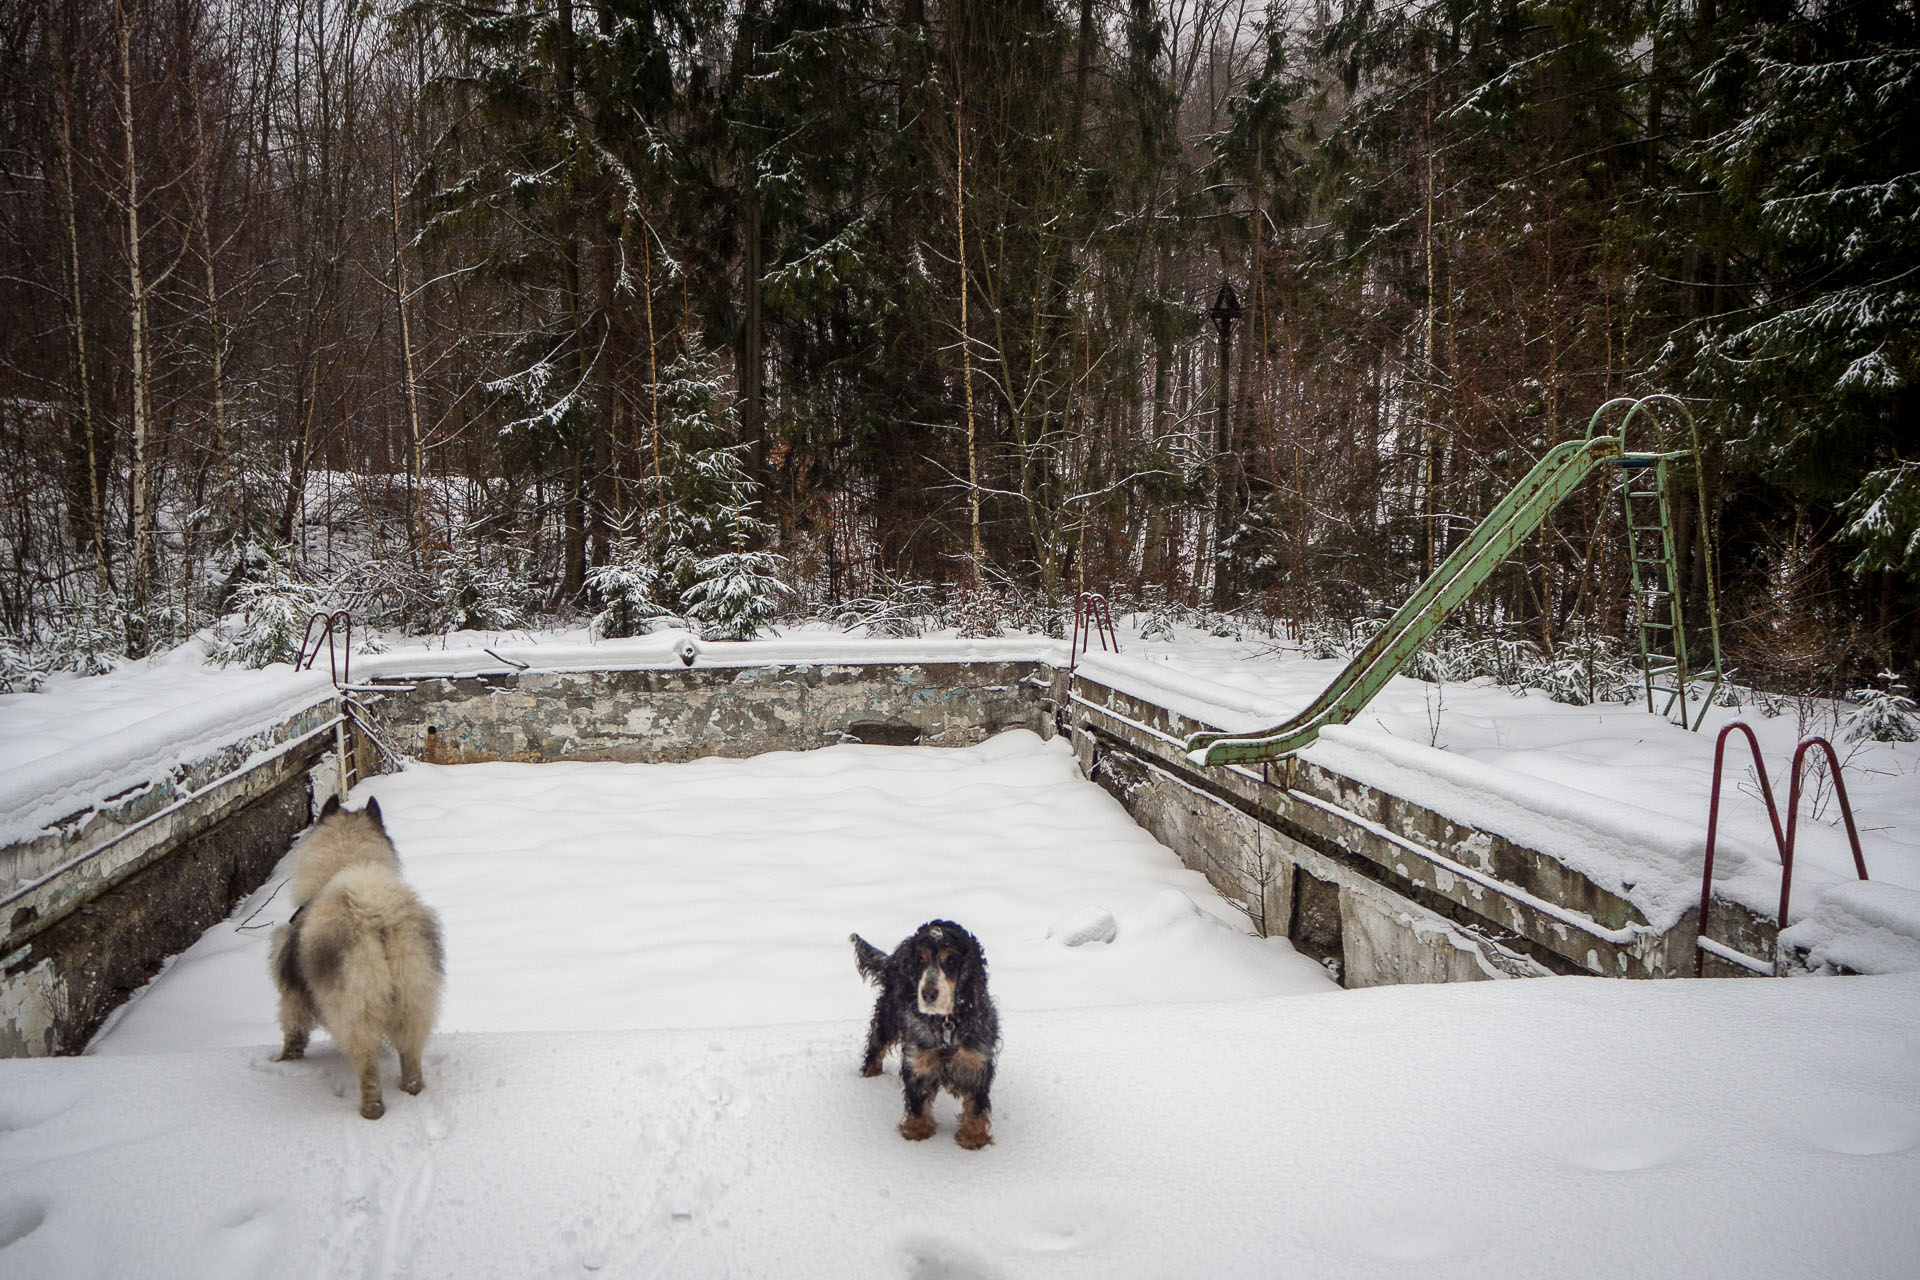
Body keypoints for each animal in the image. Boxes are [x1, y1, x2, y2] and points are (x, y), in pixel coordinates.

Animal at [268, 794, 443, 1113]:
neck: (347, 861)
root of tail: (376, 914)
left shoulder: (293, 992)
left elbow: (293, 1030)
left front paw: (285, 1061)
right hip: (414, 998)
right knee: (411, 1058)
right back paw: (410, 1091)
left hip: (352, 1010)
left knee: (367, 1065)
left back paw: (370, 1109)